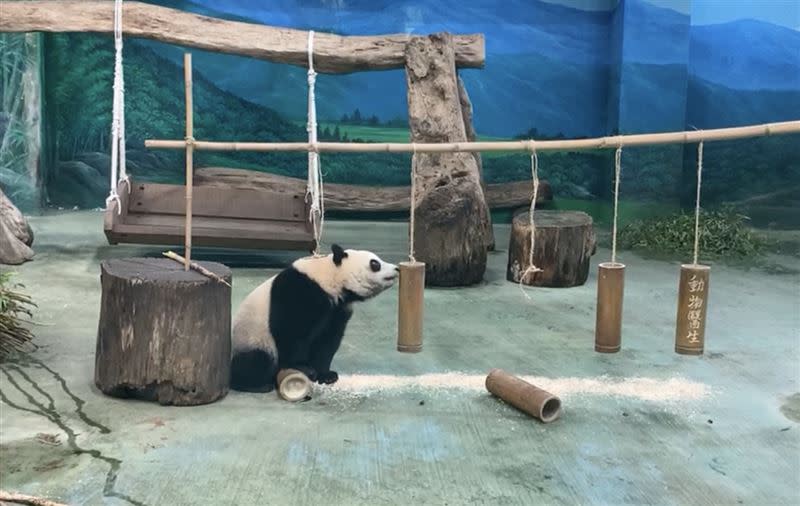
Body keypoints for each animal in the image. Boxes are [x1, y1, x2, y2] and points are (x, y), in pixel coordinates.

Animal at [230, 243, 398, 394]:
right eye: (375, 264)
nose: (396, 268)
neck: (330, 278)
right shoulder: (302, 290)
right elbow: (291, 331)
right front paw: (303, 368)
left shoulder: (338, 310)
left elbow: (327, 341)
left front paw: (326, 375)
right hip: (252, 337)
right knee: (257, 360)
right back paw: (256, 385)